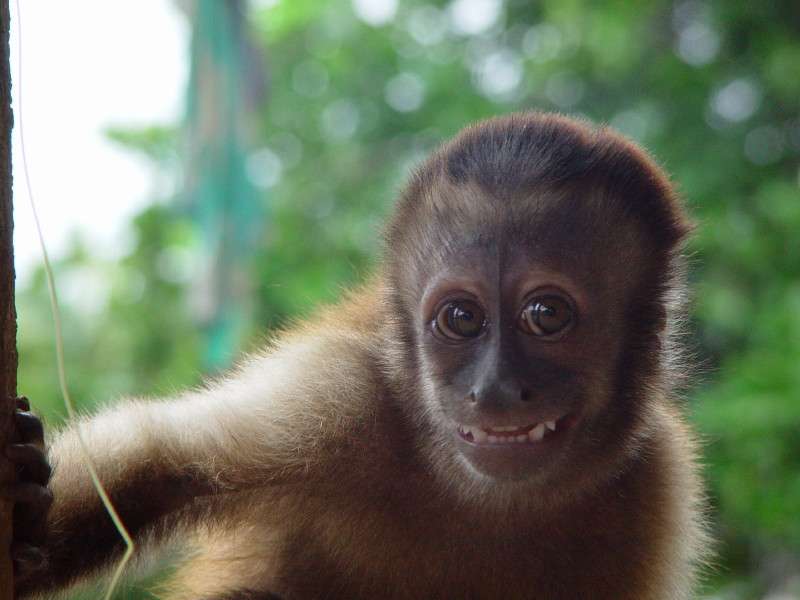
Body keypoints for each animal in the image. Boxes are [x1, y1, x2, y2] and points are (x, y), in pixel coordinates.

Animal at [3, 113, 708, 600]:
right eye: (461, 319)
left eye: (547, 315)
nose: (494, 390)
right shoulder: (333, 395)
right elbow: (159, 461)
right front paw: (21, 502)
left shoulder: (658, 486)